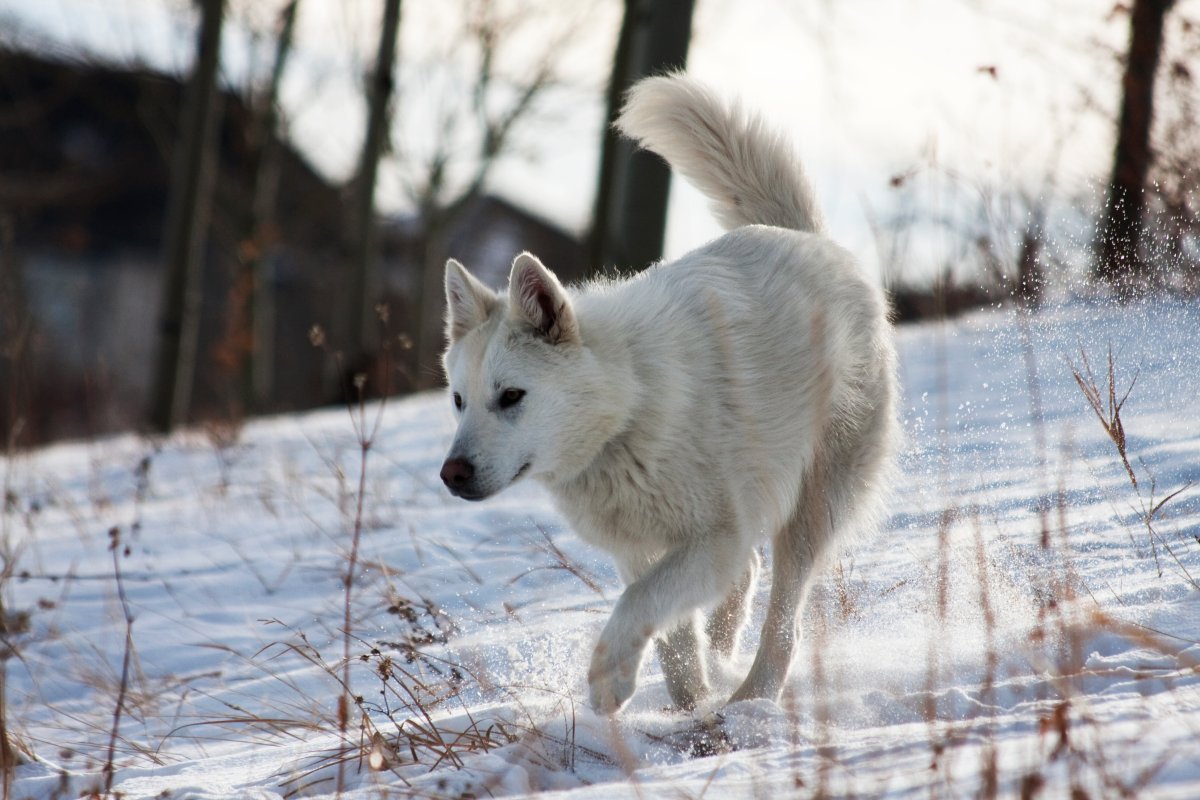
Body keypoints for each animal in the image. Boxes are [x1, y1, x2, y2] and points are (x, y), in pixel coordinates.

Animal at [436, 74, 897, 714]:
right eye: (459, 401)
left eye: (510, 396)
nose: (451, 474)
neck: (627, 411)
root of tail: (808, 238)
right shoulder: (641, 549)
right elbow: (671, 632)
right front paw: (688, 702)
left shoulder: (711, 538)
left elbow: (642, 603)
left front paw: (611, 679)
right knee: (748, 581)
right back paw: (724, 663)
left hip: (813, 503)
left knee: (785, 616)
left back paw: (752, 696)